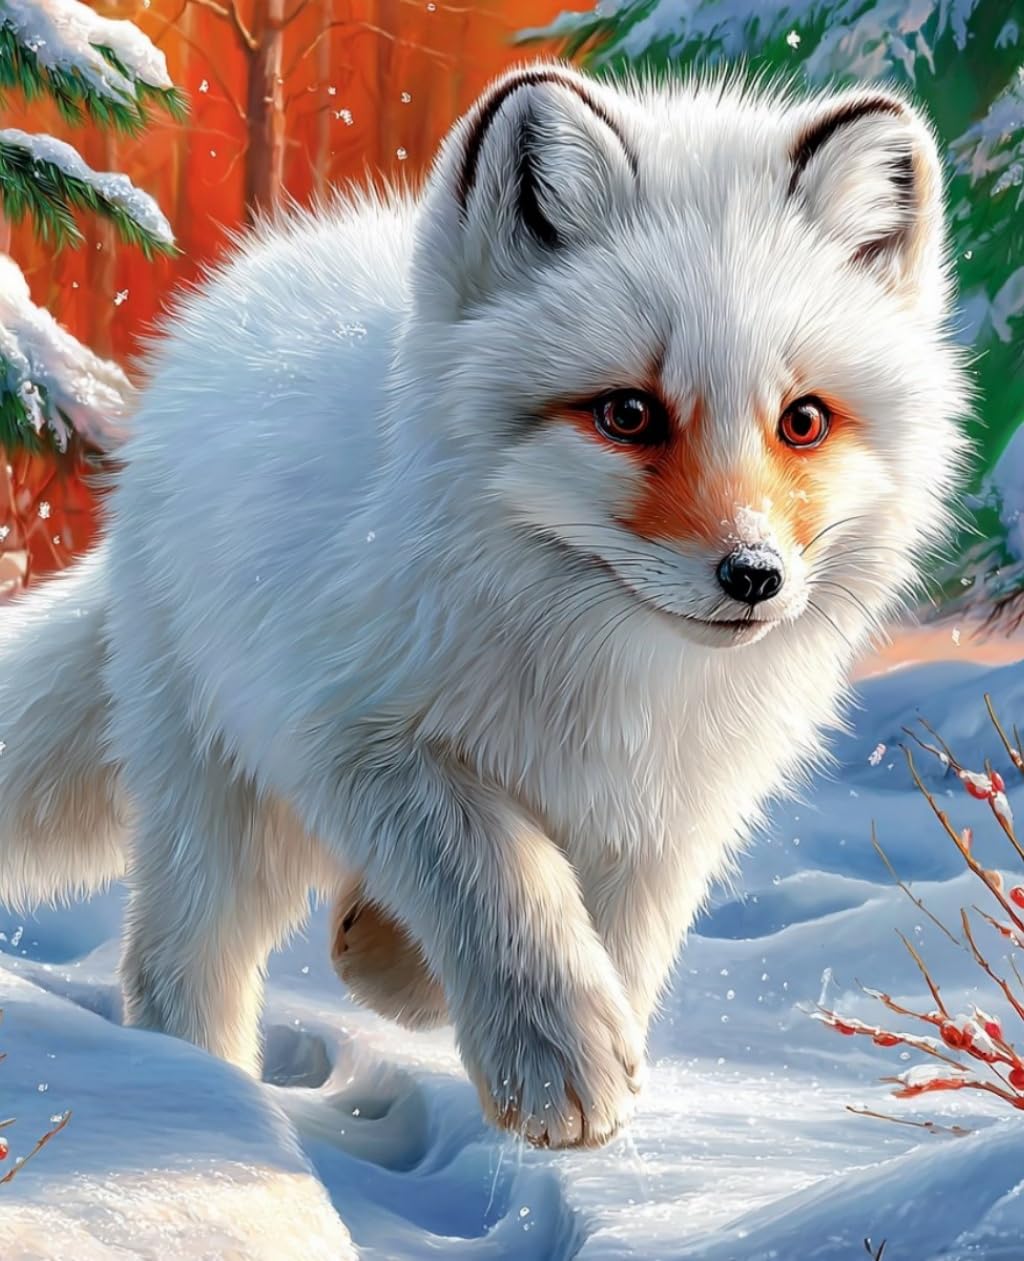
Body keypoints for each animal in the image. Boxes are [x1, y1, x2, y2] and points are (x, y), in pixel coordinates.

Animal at [0, 63, 967, 1149]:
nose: (753, 574)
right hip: (219, 793)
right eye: (628, 413)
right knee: (180, 965)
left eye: (802, 421)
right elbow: (502, 877)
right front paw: (557, 1060)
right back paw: (204, 1102)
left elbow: (611, 939)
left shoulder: (665, 817)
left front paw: (396, 965)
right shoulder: (355, 737)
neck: (602, 671)